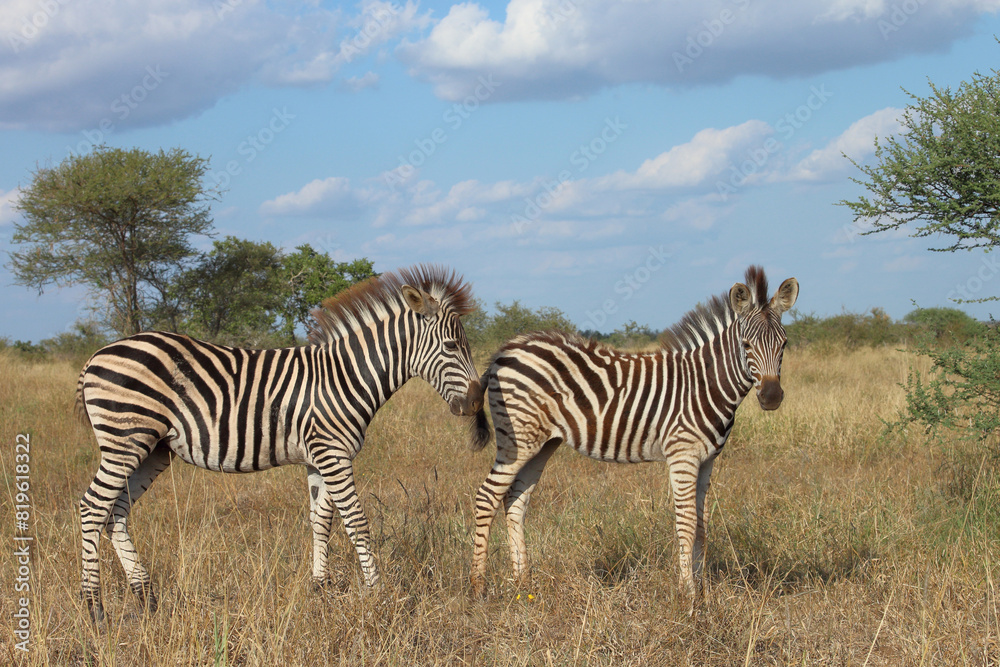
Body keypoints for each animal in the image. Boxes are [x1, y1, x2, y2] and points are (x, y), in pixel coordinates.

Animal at [75, 265, 483, 624]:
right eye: (451, 345)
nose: (477, 402)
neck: (344, 376)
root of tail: (97, 355)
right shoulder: (334, 455)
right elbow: (356, 520)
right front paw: (379, 594)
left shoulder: (318, 458)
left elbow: (321, 520)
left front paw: (319, 587)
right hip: (125, 441)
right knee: (93, 507)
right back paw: (95, 609)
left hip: (152, 448)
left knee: (117, 512)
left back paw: (146, 597)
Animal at [467, 266, 798, 612]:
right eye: (746, 345)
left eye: (784, 344)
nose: (772, 397)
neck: (705, 384)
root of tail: (506, 349)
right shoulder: (682, 455)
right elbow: (686, 523)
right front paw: (688, 596)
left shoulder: (708, 460)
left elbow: (702, 524)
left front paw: (703, 591)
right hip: (516, 439)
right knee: (487, 496)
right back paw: (478, 587)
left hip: (542, 443)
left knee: (515, 500)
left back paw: (524, 583)